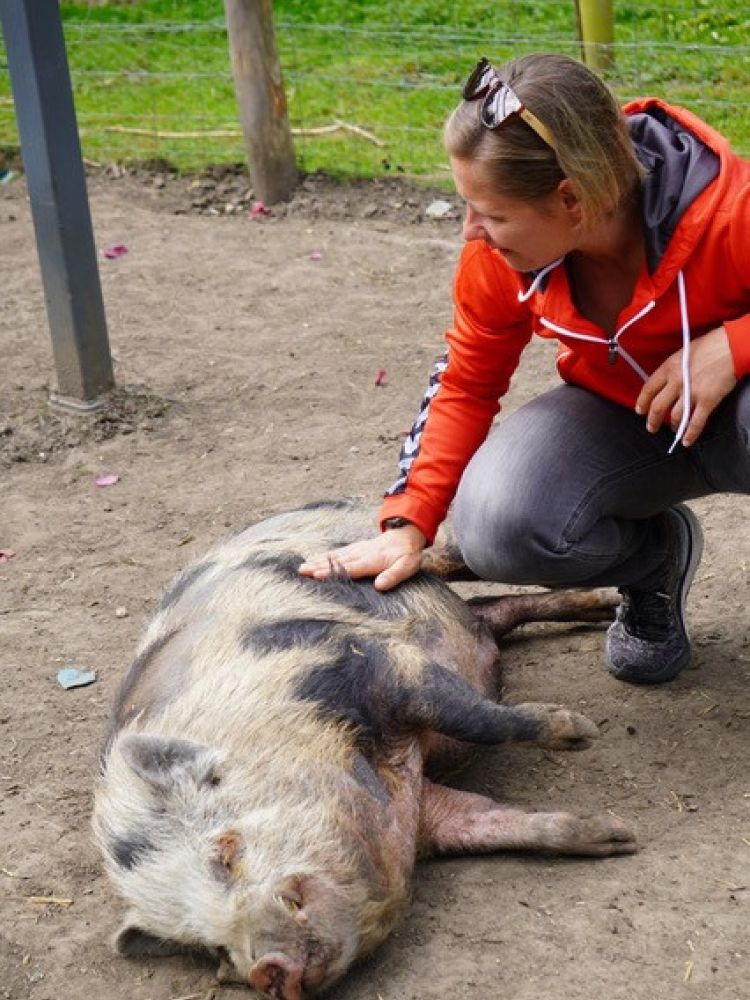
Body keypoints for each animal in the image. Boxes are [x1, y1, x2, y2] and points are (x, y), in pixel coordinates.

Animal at [92, 499, 636, 999]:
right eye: (210, 948)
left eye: (226, 853)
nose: (267, 968)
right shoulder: (424, 811)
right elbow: (491, 821)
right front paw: (616, 838)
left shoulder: (373, 662)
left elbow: (472, 715)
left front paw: (580, 732)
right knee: (492, 613)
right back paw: (597, 609)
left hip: (418, 550)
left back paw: (609, 603)